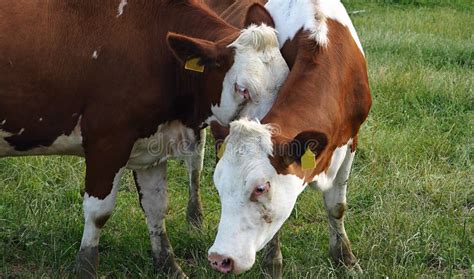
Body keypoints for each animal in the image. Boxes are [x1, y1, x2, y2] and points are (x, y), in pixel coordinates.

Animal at [0, 0, 288, 278]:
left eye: (284, 85)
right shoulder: (107, 141)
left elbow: (156, 207)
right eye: (243, 89)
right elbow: (98, 212)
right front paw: (86, 268)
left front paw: (169, 265)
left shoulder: (151, 146)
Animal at [206, 0, 370, 276]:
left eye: (260, 188)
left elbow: (337, 206)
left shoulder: (351, 141)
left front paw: (345, 259)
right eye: (218, 184)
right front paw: (273, 265)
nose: (220, 259)